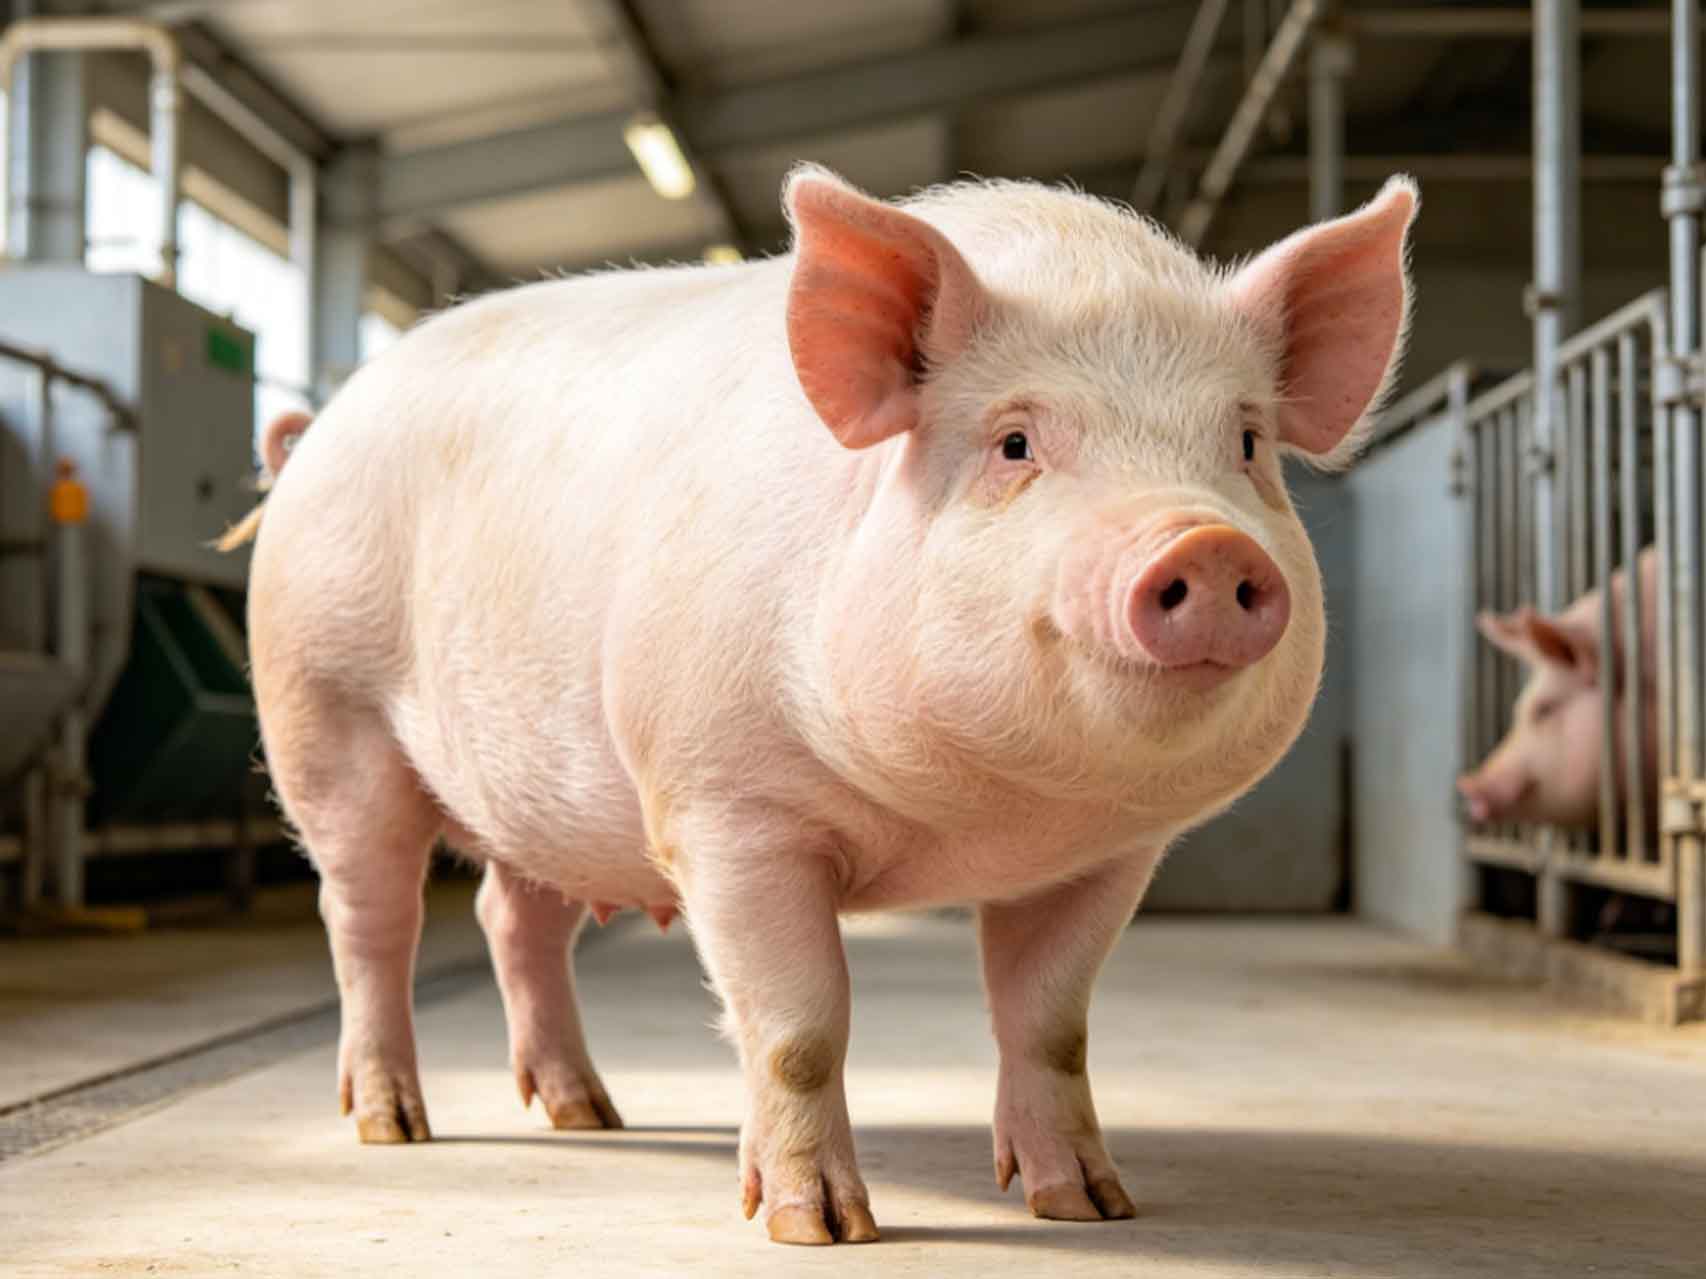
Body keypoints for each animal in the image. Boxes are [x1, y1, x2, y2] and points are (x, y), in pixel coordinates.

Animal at [226, 167, 1416, 1244]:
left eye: (1246, 445)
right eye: (1015, 442)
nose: (1204, 544)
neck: (979, 818)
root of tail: (315, 434)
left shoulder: (1107, 854)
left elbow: (1052, 1024)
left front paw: (1091, 1207)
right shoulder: (724, 806)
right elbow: (799, 1027)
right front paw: (819, 1229)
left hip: (552, 789)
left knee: (513, 920)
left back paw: (590, 1112)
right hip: (323, 713)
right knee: (369, 917)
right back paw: (395, 1126)